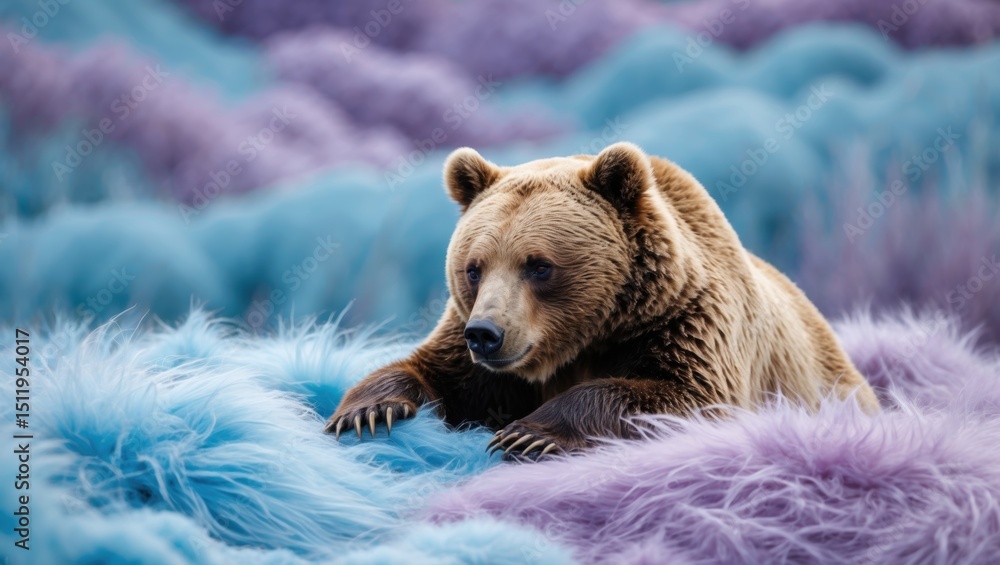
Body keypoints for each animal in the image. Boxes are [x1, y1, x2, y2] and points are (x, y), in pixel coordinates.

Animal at [325, 142, 879, 460]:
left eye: (539, 265)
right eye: (473, 267)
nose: (485, 334)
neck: (590, 335)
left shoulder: (687, 323)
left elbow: (687, 396)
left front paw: (529, 433)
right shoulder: (477, 356)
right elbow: (437, 372)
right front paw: (367, 410)